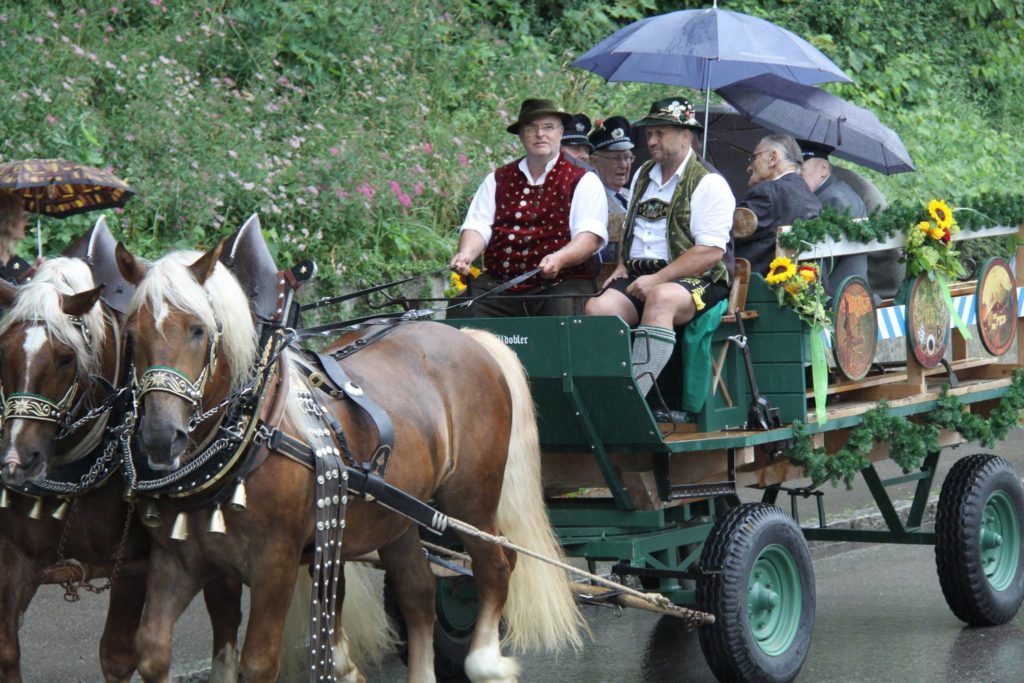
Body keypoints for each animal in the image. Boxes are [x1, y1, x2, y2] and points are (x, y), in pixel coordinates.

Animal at [0, 258, 243, 683]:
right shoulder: (16, 557)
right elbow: (8, 651)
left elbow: (116, 656)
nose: (16, 460)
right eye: (2, 352)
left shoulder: (132, 566)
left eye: (66, 358)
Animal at [117, 244, 585, 683]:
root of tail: (470, 338)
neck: (250, 433)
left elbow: (259, 662)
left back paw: (487, 660)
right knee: (419, 593)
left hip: (470, 498)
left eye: (198, 330)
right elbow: (151, 651)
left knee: (495, 567)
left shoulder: (275, 564)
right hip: (399, 513)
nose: (160, 438)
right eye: (132, 334)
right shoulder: (176, 561)